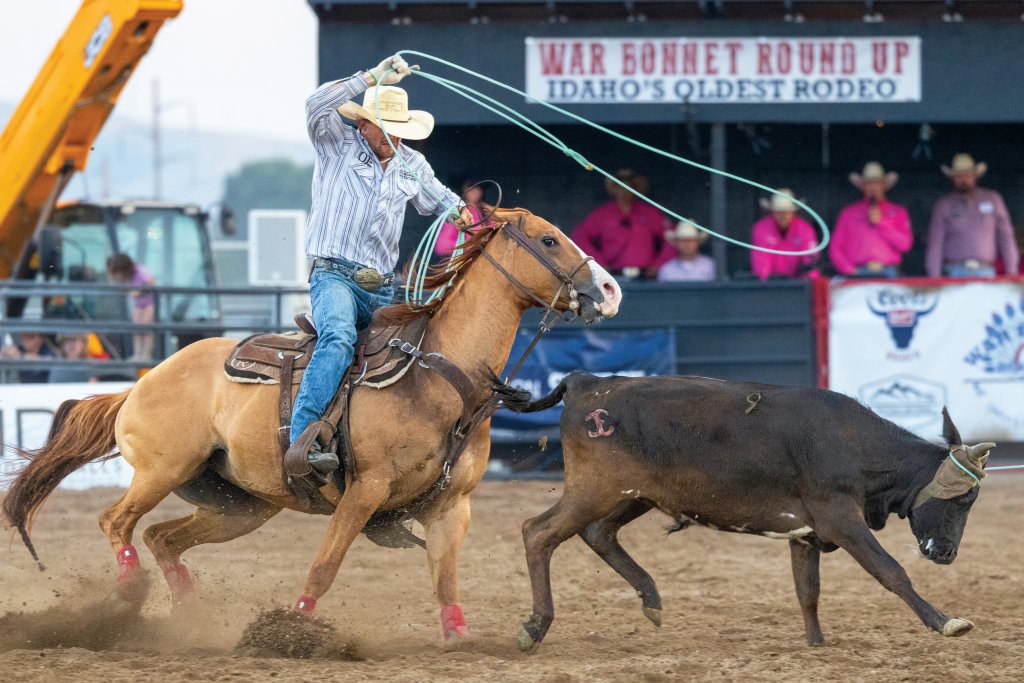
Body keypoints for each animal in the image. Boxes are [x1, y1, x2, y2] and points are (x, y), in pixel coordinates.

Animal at [3, 208, 622, 641]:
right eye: (549, 239)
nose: (610, 290)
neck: (438, 375)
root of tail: (140, 383)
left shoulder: (453, 505)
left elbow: (444, 578)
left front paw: (461, 637)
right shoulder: (365, 491)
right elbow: (325, 566)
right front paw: (293, 630)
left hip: (240, 505)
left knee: (161, 537)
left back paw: (189, 614)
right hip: (162, 470)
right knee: (116, 521)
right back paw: (130, 593)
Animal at [497, 372, 995, 652]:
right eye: (965, 499)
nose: (947, 553)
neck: (852, 443)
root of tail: (586, 382)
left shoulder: (806, 533)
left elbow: (808, 590)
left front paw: (817, 645)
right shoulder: (839, 518)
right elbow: (890, 571)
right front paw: (946, 622)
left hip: (631, 495)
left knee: (598, 534)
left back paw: (651, 599)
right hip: (594, 489)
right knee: (538, 532)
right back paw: (535, 627)